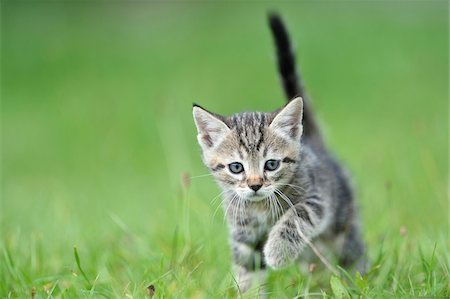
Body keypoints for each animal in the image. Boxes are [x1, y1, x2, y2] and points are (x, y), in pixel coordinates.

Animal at [192, 13, 366, 292]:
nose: (255, 185)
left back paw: (358, 281)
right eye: (236, 167)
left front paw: (277, 251)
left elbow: (296, 217)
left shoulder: (319, 200)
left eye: (271, 165)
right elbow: (248, 271)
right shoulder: (244, 236)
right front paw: (249, 293)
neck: (260, 207)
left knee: (354, 253)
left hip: (342, 223)